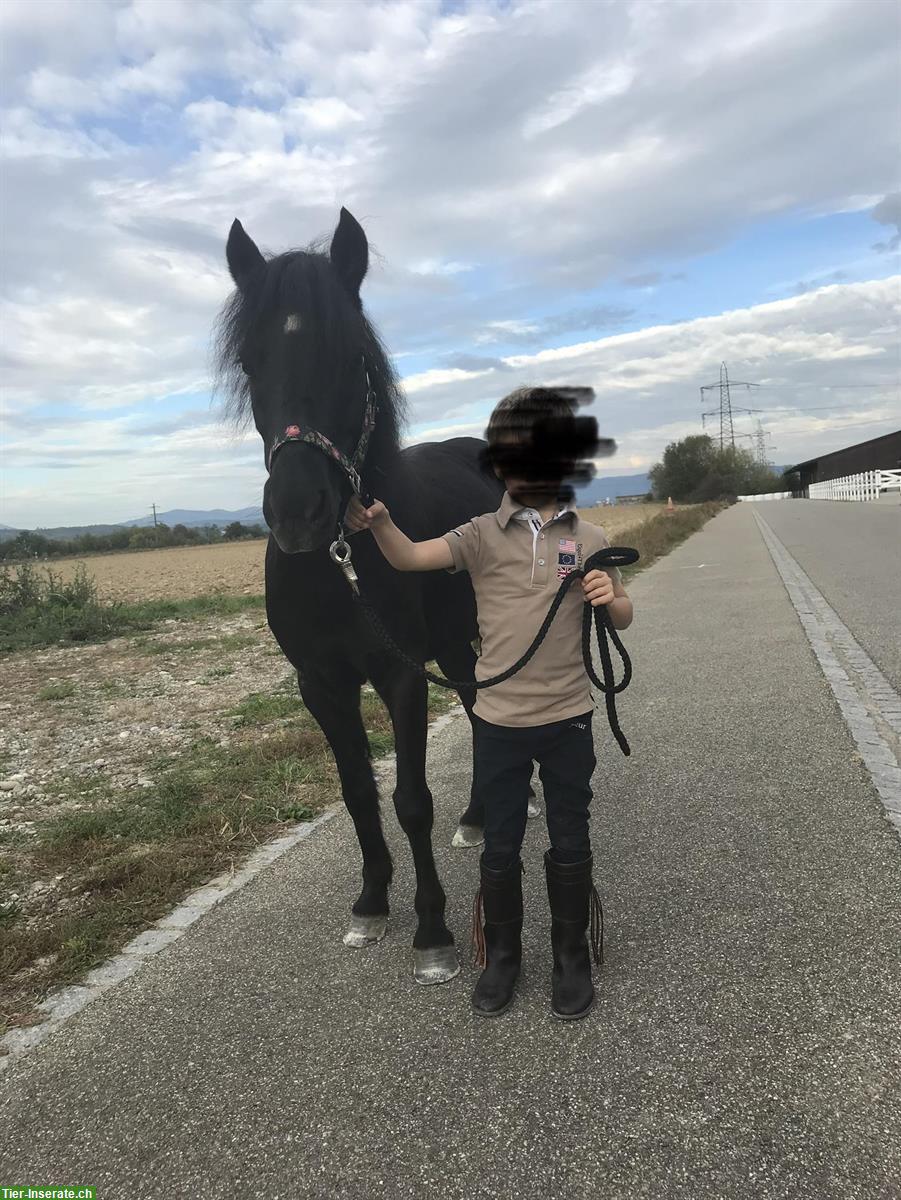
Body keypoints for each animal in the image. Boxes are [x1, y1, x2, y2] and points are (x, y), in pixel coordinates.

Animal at [214, 208, 503, 984]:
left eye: (351, 359)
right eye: (250, 361)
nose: (298, 514)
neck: (335, 570)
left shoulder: (401, 676)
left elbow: (410, 799)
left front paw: (431, 931)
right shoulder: (321, 685)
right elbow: (356, 793)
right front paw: (371, 902)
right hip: (454, 647)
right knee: (477, 707)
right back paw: (479, 816)